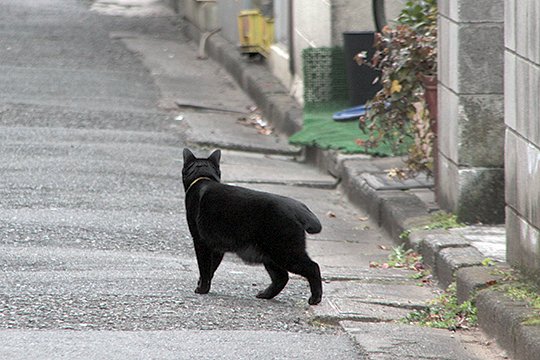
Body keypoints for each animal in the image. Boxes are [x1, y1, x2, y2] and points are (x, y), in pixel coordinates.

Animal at [184, 148, 322, 306]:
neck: (203, 178)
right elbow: (211, 268)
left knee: (313, 267)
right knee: (282, 277)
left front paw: (201, 289)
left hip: (285, 252)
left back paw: (315, 298)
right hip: (270, 256)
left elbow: (204, 267)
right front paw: (204, 286)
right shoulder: (217, 247)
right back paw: (265, 294)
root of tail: (299, 208)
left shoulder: (200, 241)